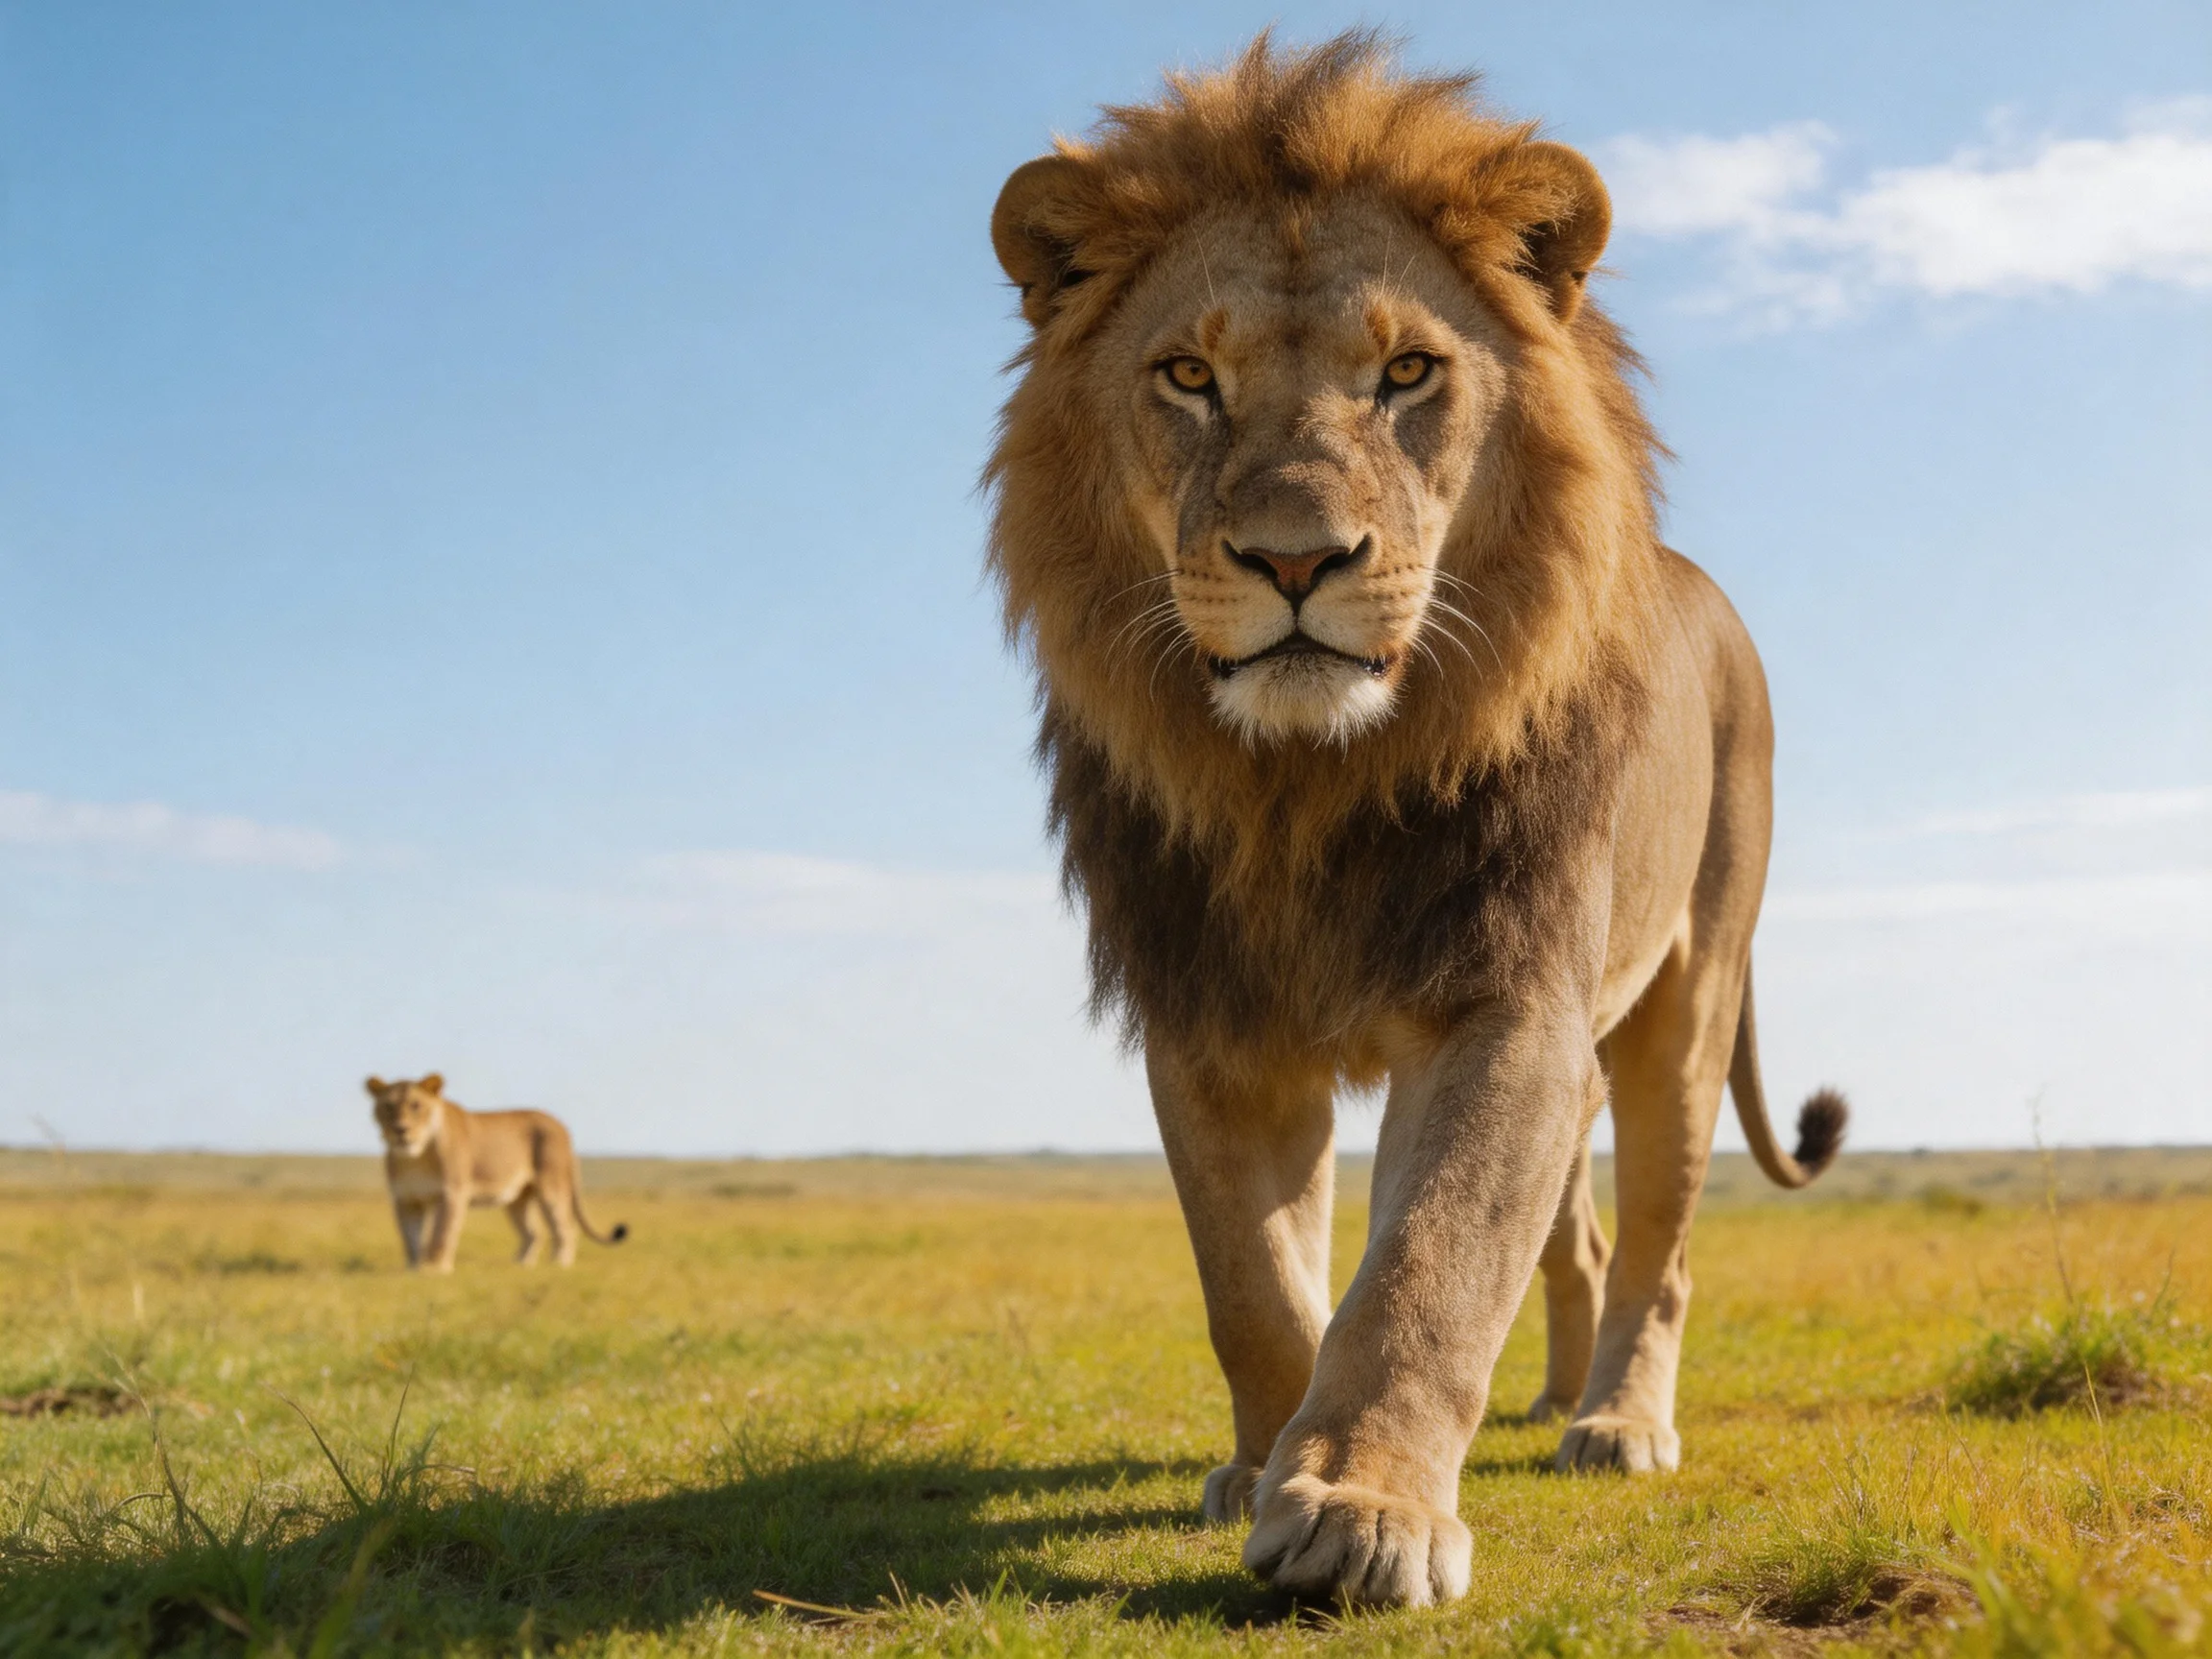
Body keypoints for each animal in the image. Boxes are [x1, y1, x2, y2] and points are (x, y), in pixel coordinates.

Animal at [364, 1074, 628, 1271]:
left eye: (416, 1105)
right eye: (388, 1106)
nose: (400, 1129)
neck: (414, 1157)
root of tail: (561, 1126)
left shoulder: (451, 1194)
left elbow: (442, 1233)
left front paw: (435, 1269)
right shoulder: (405, 1199)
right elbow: (410, 1237)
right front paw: (413, 1269)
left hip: (551, 1186)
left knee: (565, 1228)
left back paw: (559, 1264)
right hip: (518, 1199)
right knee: (534, 1233)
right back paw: (521, 1265)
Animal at [985, 34, 1846, 1607]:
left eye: (1406, 373)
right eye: (1188, 375)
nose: (1294, 559)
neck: (1300, 784)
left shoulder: (1506, 999)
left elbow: (1429, 1264)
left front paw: (1361, 1507)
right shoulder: (1207, 1016)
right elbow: (1257, 1286)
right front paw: (1265, 1465)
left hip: (1686, 1000)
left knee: (1658, 1245)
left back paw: (1615, 1423)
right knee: (1576, 1242)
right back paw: (1551, 1392)